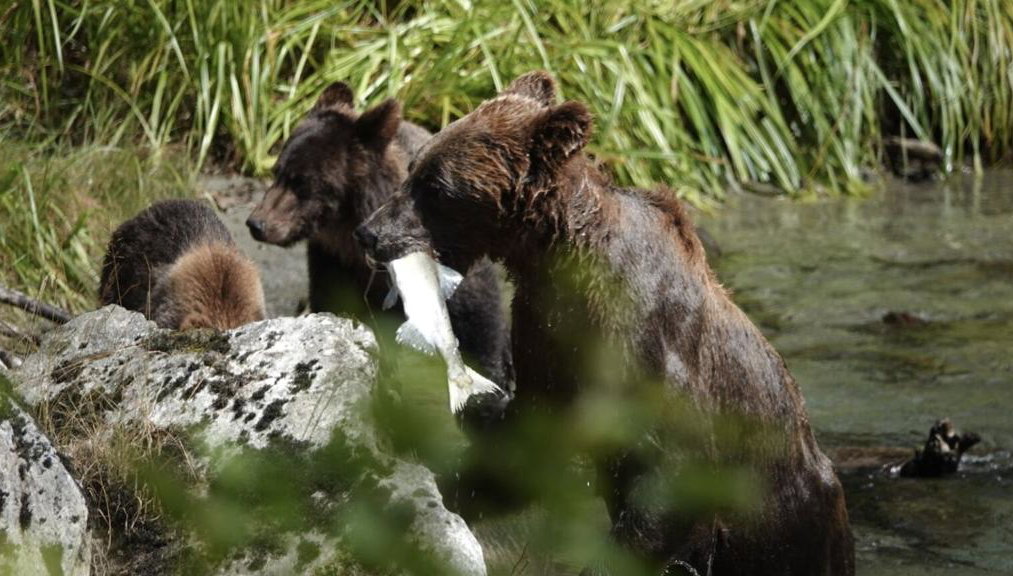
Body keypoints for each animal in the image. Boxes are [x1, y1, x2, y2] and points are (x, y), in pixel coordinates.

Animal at [355, 71, 855, 575]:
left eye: (437, 186)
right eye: (414, 166)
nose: (369, 232)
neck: (559, 260)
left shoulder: (650, 350)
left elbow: (668, 482)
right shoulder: (548, 338)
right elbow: (526, 446)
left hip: (792, 527)